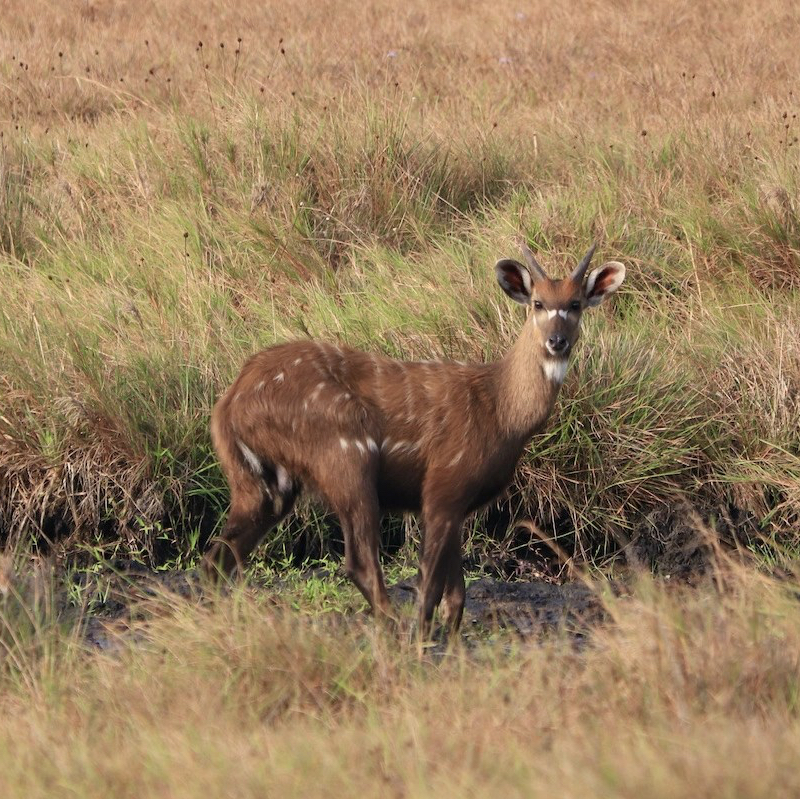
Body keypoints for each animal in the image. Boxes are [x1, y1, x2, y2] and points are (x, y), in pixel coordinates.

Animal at [203, 239, 626, 638]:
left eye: (575, 304)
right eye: (538, 303)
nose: (557, 341)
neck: (500, 409)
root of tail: (230, 402)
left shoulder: (459, 504)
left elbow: (456, 594)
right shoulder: (441, 489)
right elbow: (429, 585)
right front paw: (423, 640)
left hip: (264, 485)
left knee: (220, 557)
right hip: (346, 460)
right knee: (359, 562)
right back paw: (394, 630)